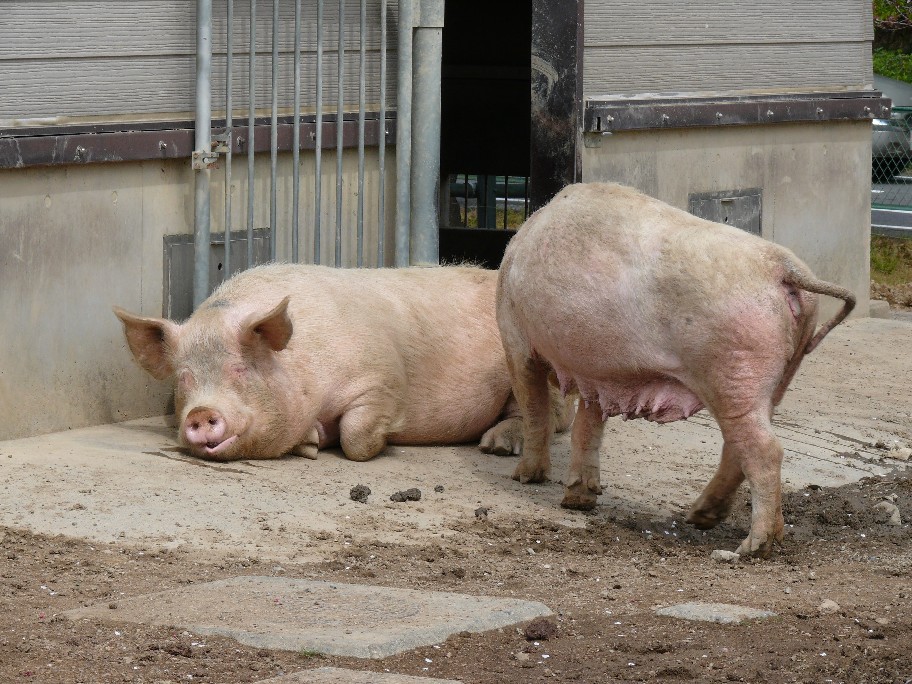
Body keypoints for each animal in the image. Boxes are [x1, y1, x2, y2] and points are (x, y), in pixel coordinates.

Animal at [112, 264, 568, 462]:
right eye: (184, 379)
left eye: (240, 369)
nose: (201, 413)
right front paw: (311, 442)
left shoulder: (382, 379)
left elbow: (356, 435)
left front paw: (381, 437)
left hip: (529, 366)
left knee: (547, 417)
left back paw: (496, 447)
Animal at [496, 182, 860, 556]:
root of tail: (785, 269)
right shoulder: (598, 373)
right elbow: (588, 426)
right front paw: (578, 500)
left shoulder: (514, 336)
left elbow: (534, 407)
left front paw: (525, 477)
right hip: (781, 374)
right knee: (740, 446)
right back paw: (702, 518)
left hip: (731, 372)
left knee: (764, 450)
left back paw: (749, 548)